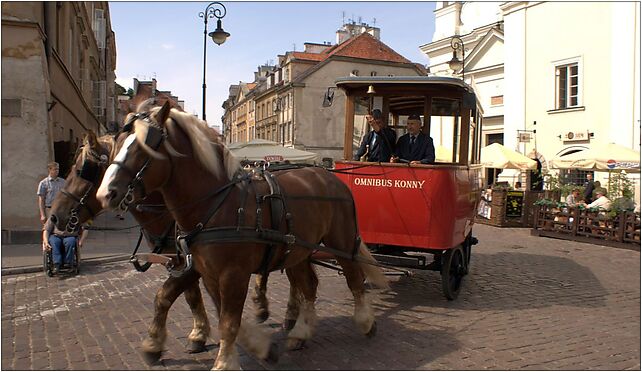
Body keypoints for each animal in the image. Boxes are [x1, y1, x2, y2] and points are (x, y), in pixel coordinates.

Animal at [95, 101, 384, 370]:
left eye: (146, 146)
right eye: (117, 144)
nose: (105, 194)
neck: (218, 204)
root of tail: (330, 177)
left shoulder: (232, 273)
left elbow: (226, 320)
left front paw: (225, 361)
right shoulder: (206, 271)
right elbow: (210, 308)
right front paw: (256, 346)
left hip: (341, 240)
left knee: (354, 278)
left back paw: (365, 321)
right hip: (298, 250)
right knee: (309, 286)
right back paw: (301, 332)